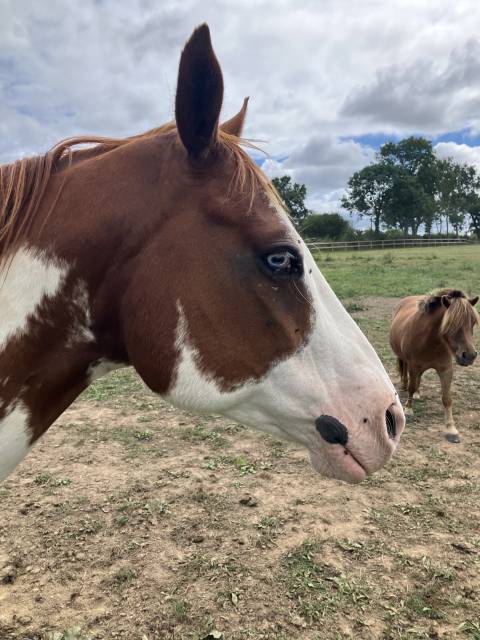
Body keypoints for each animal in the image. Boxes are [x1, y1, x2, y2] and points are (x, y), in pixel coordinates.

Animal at [390, 288, 476, 442]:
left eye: (473, 322)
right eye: (452, 324)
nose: (469, 356)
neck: (431, 341)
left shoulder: (446, 369)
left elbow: (447, 398)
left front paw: (451, 428)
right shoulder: (414, 366)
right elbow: (411, 386)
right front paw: (408, 409)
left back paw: (418, 393)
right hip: (405, 359)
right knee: (406, 371)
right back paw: (405, 385)